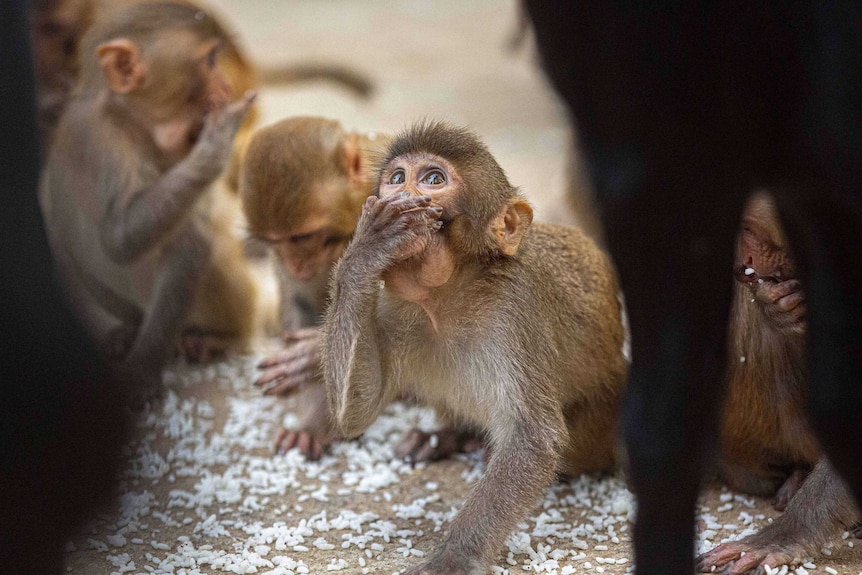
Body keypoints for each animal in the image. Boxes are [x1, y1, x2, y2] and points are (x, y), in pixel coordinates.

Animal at [40, 1, 256, 404]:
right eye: (210, 59)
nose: (228, 87)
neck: (128, 117)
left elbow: (149, 241)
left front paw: (140, 374)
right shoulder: (98, 136)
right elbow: (120, 237)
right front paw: (217, 141)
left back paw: (222, 337)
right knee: (64, 237)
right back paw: (131, 327)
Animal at [238, 117, 390, 460]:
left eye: (302, 237)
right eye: (274, 242)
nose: (294, 265)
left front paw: (309, 354)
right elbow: (300, 306)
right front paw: (310, 425)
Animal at [320, 121, 624, 575]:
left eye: (433, 179)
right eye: (397, 177)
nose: (400, 192)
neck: (449, 296)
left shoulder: (514, 306)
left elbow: (533, 437)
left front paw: (453, 556)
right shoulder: (395, 305)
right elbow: (357, 410)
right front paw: (366, 249)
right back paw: (444, 438)